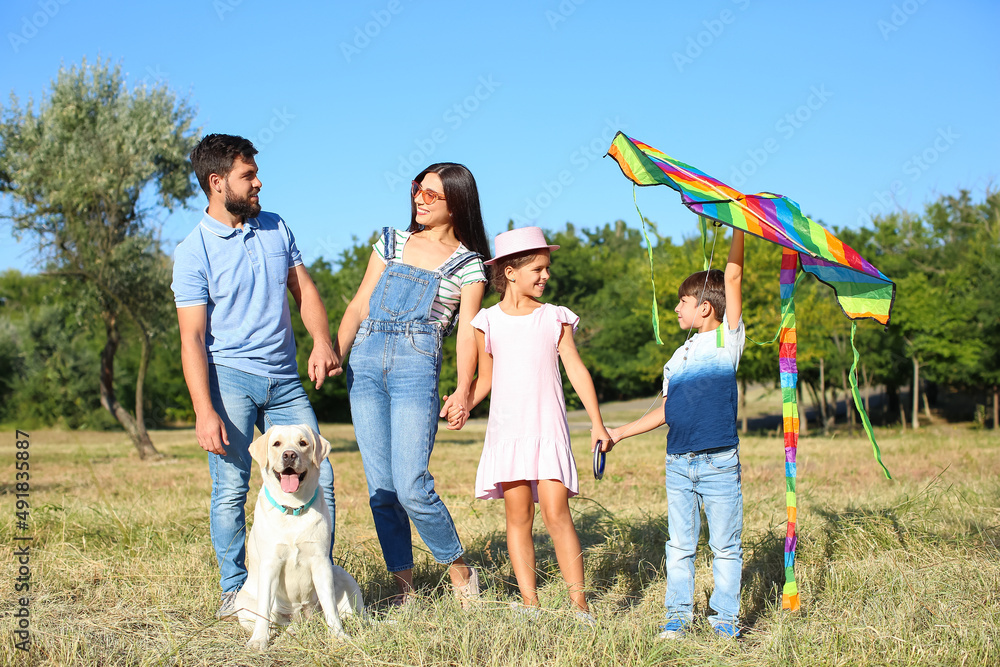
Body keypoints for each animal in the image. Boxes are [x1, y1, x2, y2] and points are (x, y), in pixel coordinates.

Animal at [234, 426, 364, 648]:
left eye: (303, 443)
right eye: (276, 444)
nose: (289, 455)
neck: (293, 508)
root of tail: (301, 618)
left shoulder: (321, 562)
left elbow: (330, 606)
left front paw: (339, 635)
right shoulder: (270, 564)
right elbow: (264, 609)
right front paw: (259, 641)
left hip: (341, 573)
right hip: (242, 603)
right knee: (274, 622)